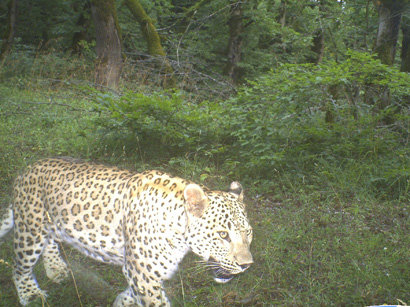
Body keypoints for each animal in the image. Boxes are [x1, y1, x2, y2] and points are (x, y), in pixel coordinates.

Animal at [0, 158, 253, 306]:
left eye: (249, 233)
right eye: (222, 235)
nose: (247, 266)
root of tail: (27, 169)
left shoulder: (146, 271)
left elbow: (135, 293)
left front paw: (121, 301)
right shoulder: (143, 271)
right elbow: (156, 301)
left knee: (50, 241)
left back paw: (56, 269)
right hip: (30, 230)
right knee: (19, 266)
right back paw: (30, 295)